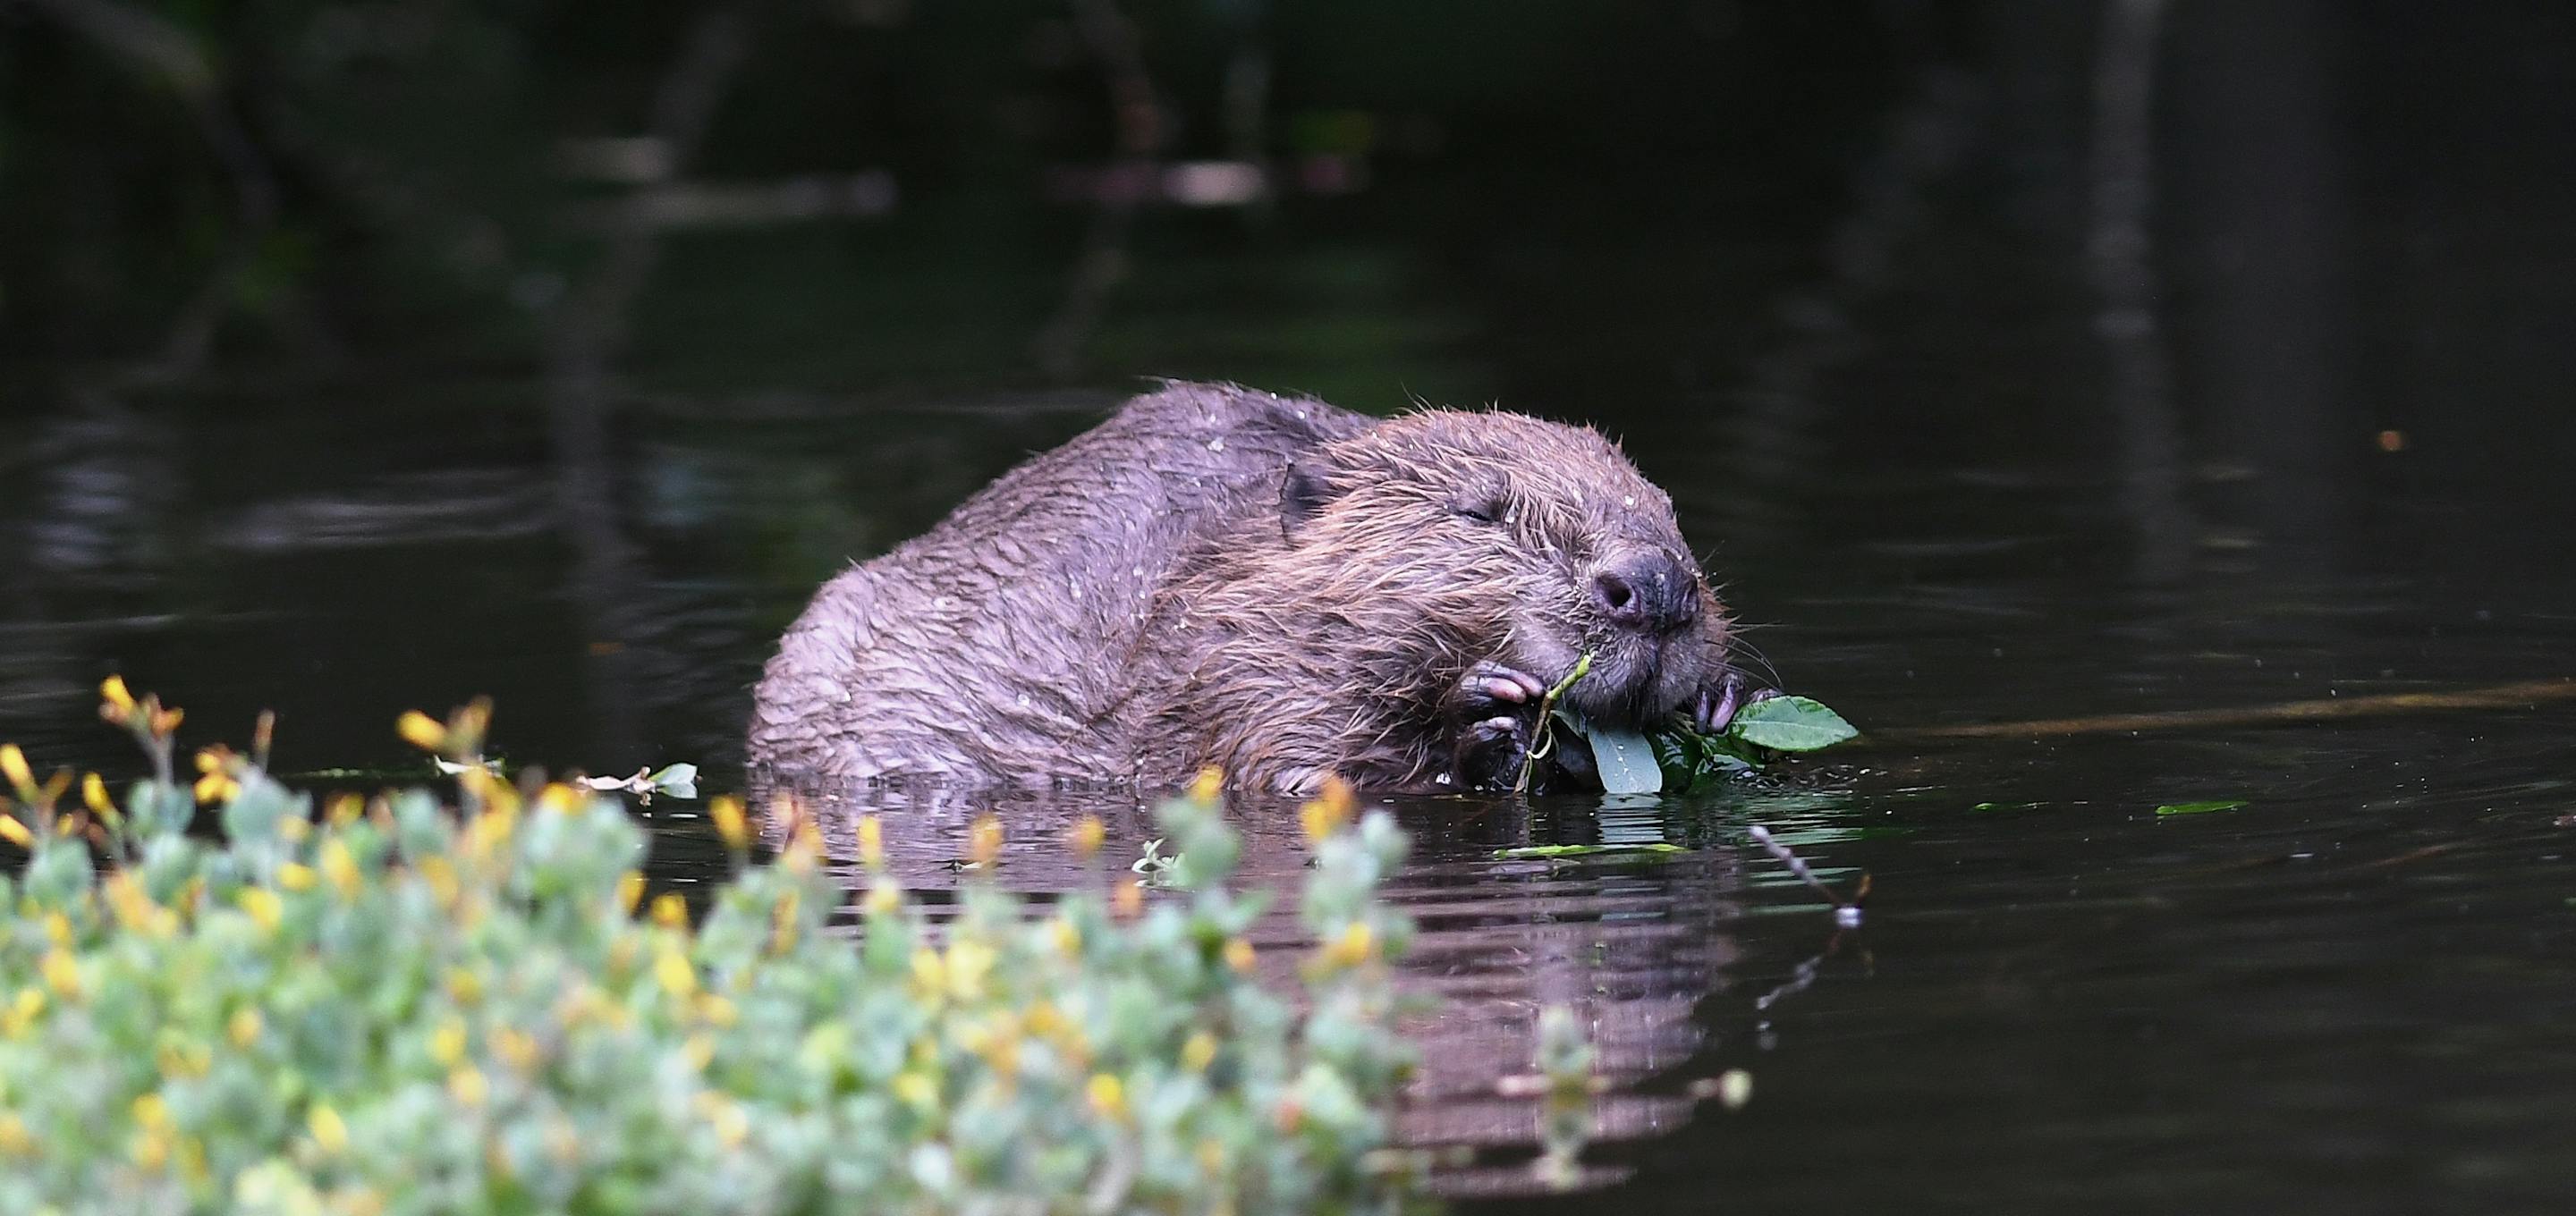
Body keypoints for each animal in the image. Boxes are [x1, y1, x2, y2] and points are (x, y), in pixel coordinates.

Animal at [741, 381, 1751, 798]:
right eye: (1480, 512)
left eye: (1665, 507)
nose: (1653, 586)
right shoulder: (1228, 674)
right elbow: (1302, 773)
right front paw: (1492, 720)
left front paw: (1722, 701)